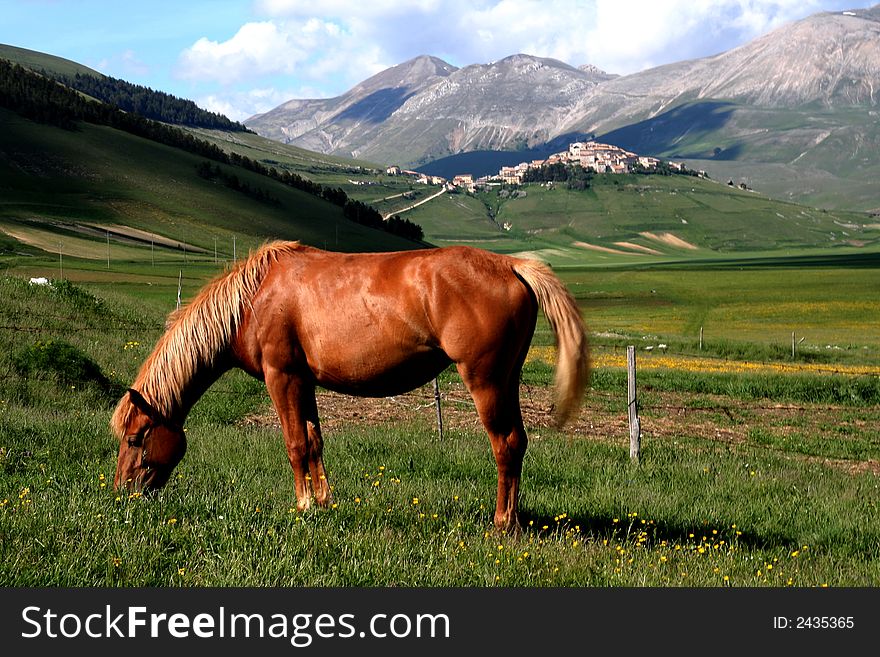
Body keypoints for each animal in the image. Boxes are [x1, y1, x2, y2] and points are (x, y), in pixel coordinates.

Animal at [111, 241, 592, 528]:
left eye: (136, 438)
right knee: (519, 442)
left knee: (504, 445)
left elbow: (294, 444)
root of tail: (512, 265)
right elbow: (313, 441)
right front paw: (324, 503)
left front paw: (304, 506)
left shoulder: (282, 377)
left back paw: (502, 522)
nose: (121, 494)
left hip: (485, 381)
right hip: (507, 380)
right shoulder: (303, 381)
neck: (253, 299)